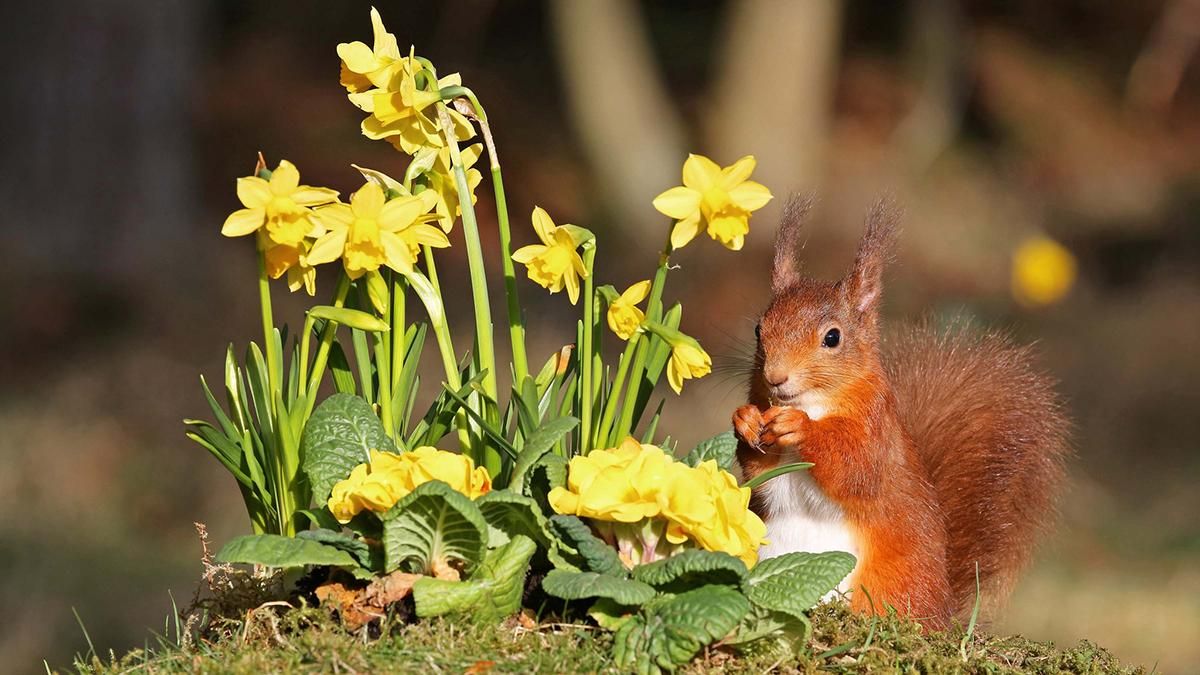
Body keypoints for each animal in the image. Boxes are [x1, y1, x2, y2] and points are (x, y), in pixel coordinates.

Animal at [729, 196, 1070, 629]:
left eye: (833, 337)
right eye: (759, 329)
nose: (775, 377)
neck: (813, 402)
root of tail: (945, 610)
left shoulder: (877, 426)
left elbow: (857, 468)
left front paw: (800, 428)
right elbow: (757, 471)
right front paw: (745, 420)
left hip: (891, 588)